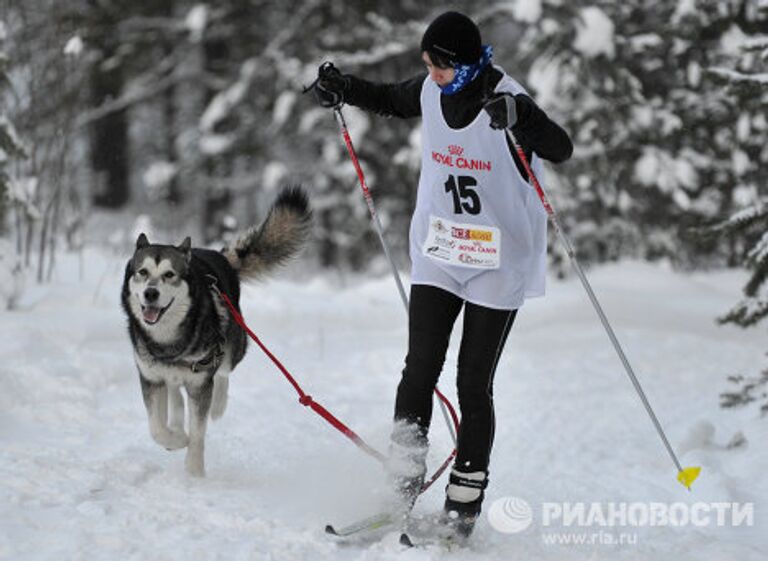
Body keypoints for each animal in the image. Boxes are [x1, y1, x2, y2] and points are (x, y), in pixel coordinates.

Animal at [121, 186, 310, 474]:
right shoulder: (151, 378)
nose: (150, 293)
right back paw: (177, 422)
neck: (168, 344)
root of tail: (220, 256)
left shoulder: (200, 384)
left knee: (223, 372)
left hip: (232, 345)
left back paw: (218, 405)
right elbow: (156, 428)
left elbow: (198, 432)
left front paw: (194, 470)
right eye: (142, 272)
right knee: (175, 391)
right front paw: (176, 439)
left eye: (169, 274)